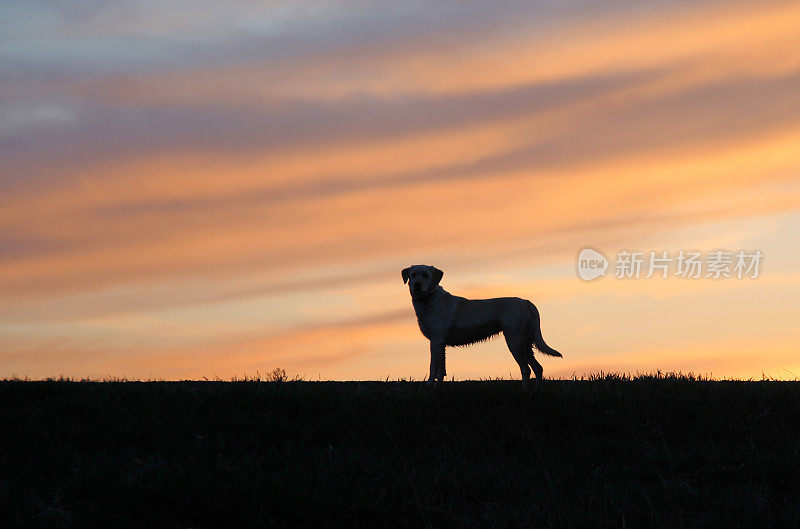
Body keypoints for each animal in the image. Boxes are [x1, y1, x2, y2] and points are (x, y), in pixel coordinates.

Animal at [400, 266, 564, 386]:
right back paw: (536, 391)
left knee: (525, 369)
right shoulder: (440, 343)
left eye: (425, 275)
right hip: (526, 343)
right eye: (413, 275)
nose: (417, 285)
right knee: (537, 367)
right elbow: (442, 367)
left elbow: (433, 365)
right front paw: (437, 385)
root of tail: (527, 302)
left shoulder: (436, 340)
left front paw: (429, 385)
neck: (428, 299)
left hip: (515, 341)